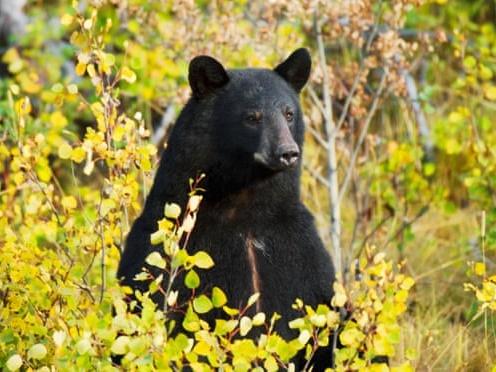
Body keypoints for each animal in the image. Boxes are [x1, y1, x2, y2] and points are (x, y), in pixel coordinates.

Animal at [116, 48, 336, 370]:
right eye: (252, 117)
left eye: (289, 113)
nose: (287, 152)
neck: (245, 207)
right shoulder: (166, 248)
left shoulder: (301, 250)